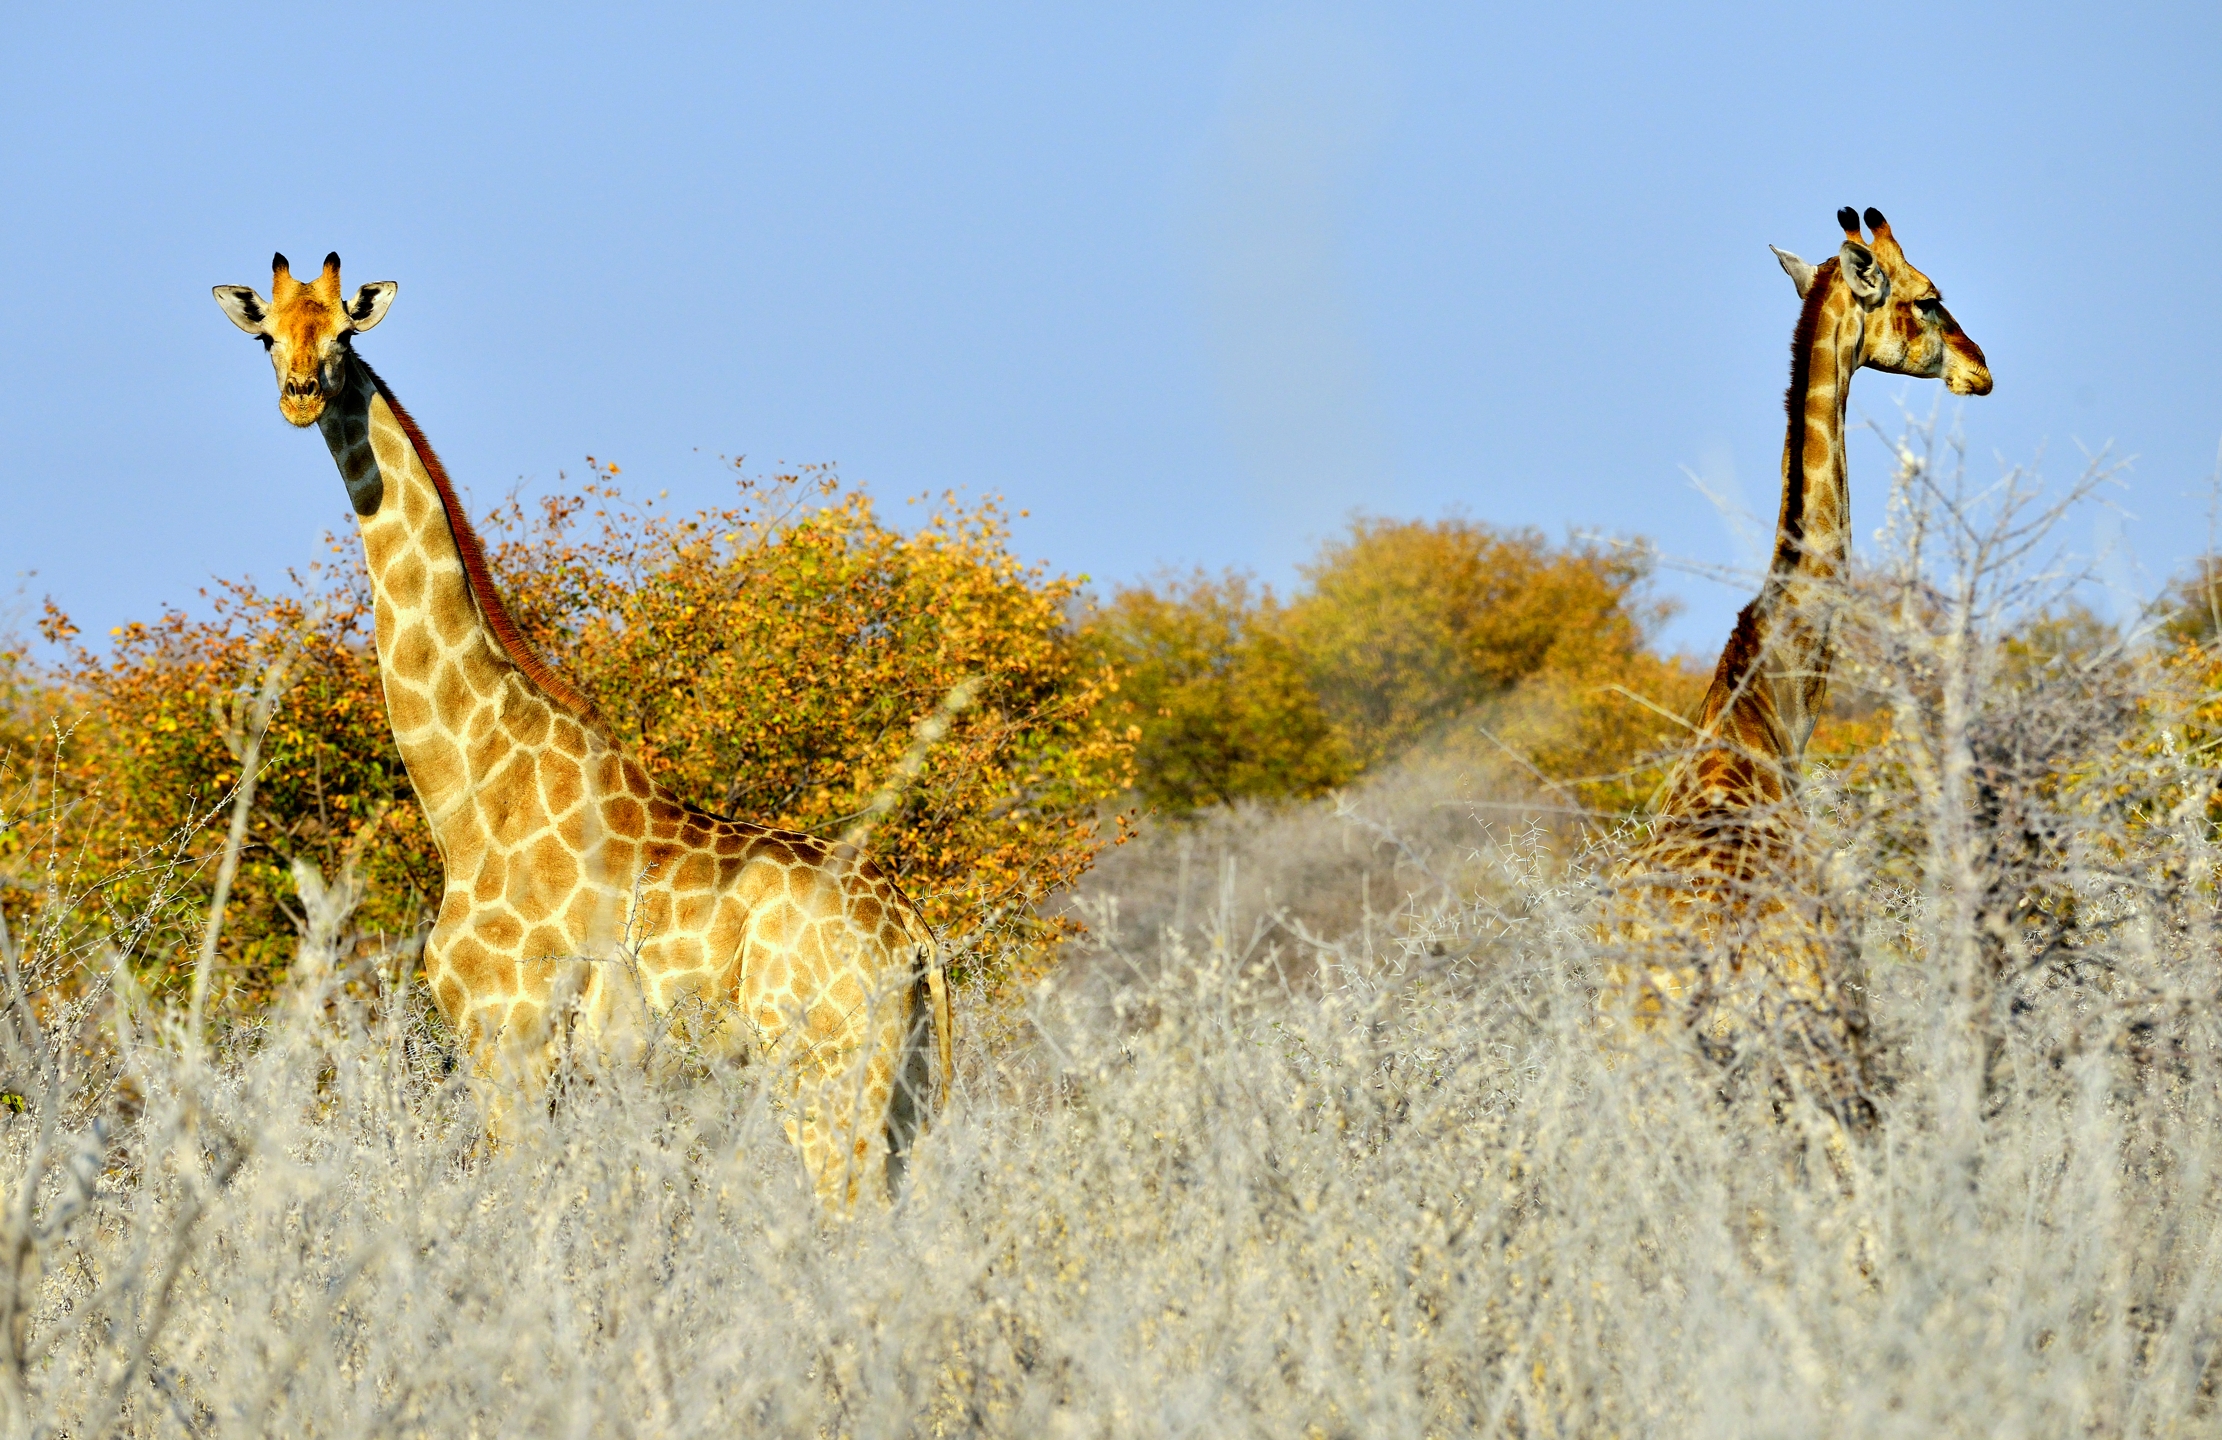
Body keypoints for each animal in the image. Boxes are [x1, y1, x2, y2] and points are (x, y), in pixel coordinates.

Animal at [213, 253, 952, 1207]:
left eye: (342, 332)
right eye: (268, 336)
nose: (302, 395)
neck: (470, 791)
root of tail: (918, 939)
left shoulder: (509, 1039)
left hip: (824, 1069)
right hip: (909, 1087)